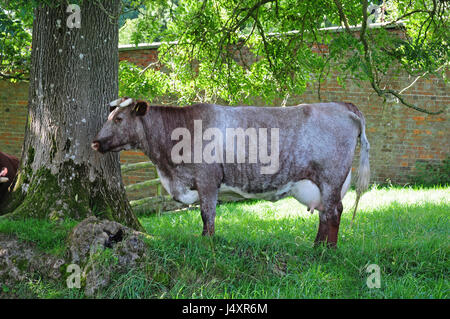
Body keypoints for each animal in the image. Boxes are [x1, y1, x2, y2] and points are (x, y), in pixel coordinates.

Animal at [91, 98, 370, 248]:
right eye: (110, 115)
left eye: (119, 119)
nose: (94, 142)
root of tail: (342, 105)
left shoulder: (207, 180)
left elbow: (207, 215)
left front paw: (207, 243)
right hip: (325, 184)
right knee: (326, 213)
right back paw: (316, 246)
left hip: (331, 178)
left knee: (333, 213)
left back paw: (327, 250)